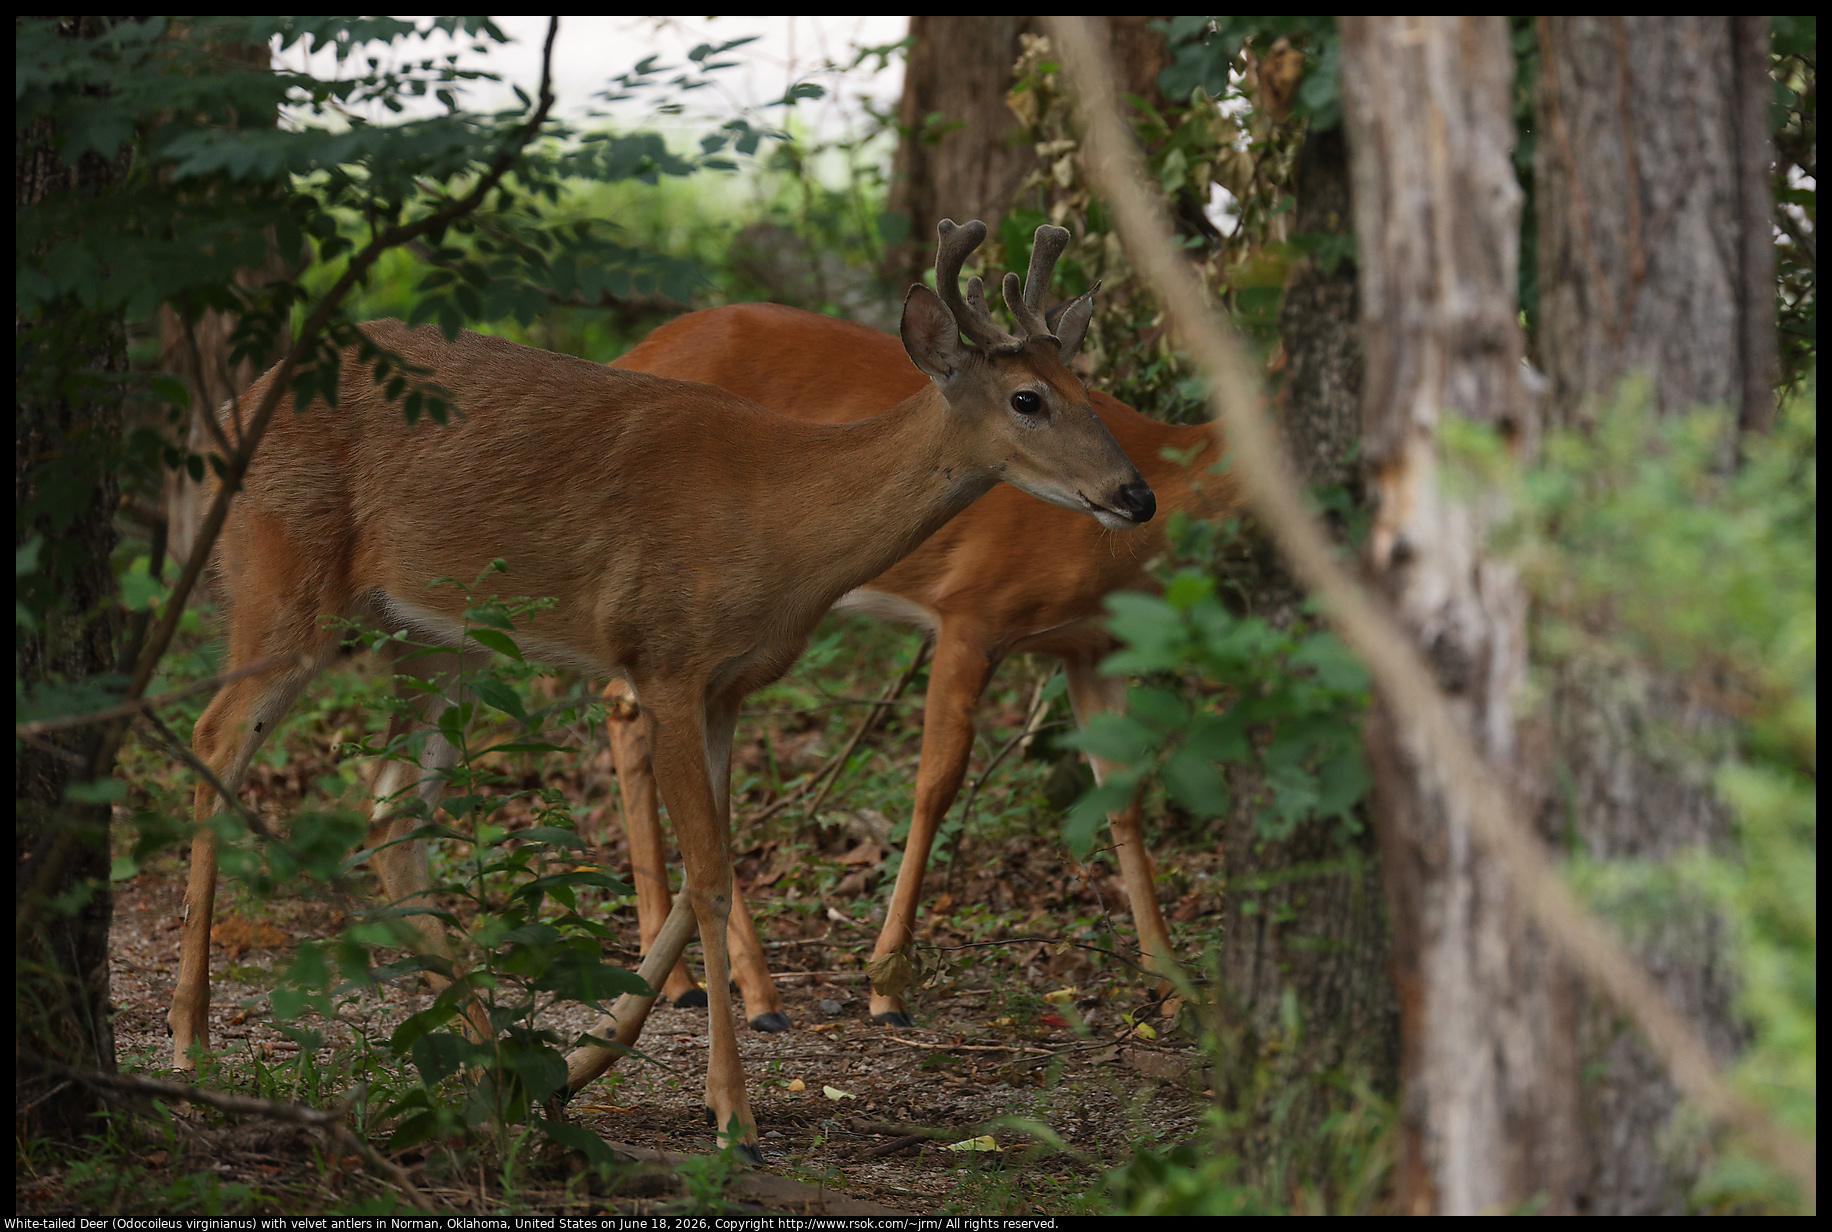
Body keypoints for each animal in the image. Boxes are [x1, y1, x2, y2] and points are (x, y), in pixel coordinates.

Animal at [169, 219, 1153, 1158]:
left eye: (1088, 390)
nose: (1135, 494)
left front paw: (576, 1067)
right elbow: (710, 879)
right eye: (1027, 398)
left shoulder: (727, 688)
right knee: (215, 738)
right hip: (282, 578)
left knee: (391, 807)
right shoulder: (667, 661)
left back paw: (489, 1067)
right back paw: (191, 1044)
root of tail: (227, 413)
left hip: (440, 639)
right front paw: (733, 1116)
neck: (784, 526)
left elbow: (703, 871)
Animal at [594, 287, 1237, 1029]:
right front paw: (886, 989)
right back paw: (754, 994)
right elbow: (936, 783)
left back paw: (678, 981)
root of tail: (631, 352)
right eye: (1027, 400)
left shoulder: (1092, 643)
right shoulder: (972, 611)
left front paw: (1176, 984)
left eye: (1087, 391)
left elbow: (1123, 793)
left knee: (625, 713)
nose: (1135, 497)